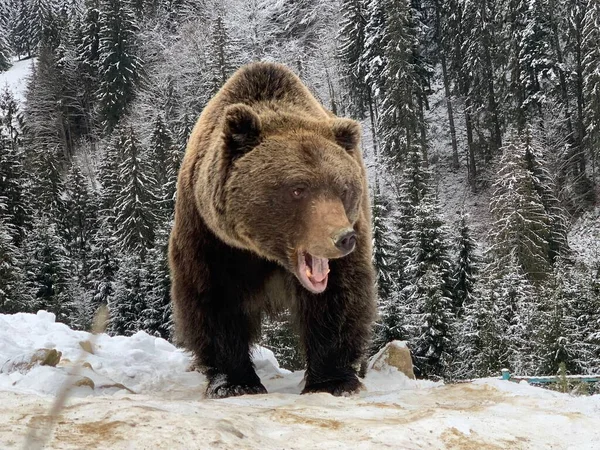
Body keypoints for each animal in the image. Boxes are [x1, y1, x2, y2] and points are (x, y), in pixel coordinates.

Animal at [169, 61, 376, 400]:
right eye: (297, 189)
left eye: (344, 188)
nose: (343, 238)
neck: (267, 253)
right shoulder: (210, 237)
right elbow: (214, 298)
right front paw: (235, 382)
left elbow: (338, 299)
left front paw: (333, 380)